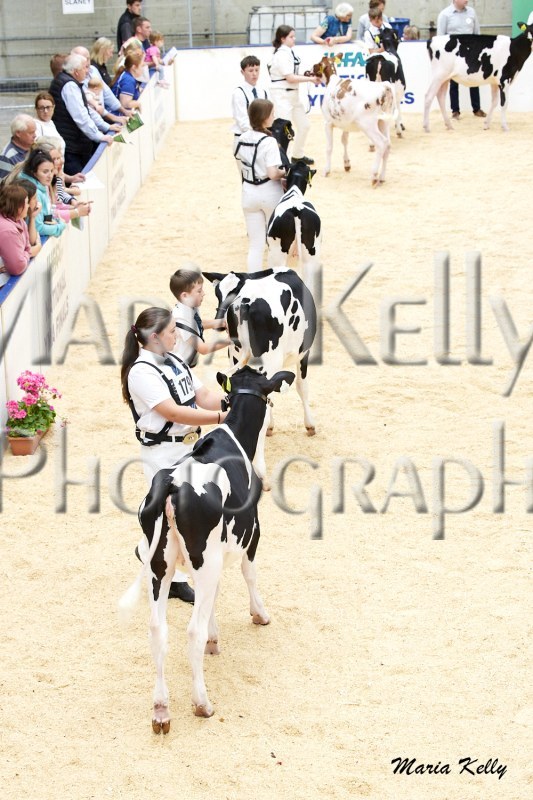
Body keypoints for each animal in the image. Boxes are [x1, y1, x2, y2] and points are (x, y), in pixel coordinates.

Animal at [119, 366, 295, 729]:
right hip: (201, 560)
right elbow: (249, 575)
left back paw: (161, 709)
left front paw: (216, 638)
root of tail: (170, 483)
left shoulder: (211, 562)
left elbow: (211, 597)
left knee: (157, 630)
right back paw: (201, 703)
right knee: (191, 632)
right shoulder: (252, 533)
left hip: (160, 566)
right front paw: (259, 614)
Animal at [203, 267, 317, 485]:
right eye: (217, 293)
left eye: (228, 292)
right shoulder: (303, 354)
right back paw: (261, 472)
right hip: (269, 361)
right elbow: (303, 388)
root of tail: (245, 303)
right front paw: (310, 425)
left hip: (236, 357)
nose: (218, 322)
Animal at [310, 54, 397, 185]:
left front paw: (326, 171)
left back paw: (374, 176)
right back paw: (382, 177)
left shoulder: (328, 122)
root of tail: (384, 86)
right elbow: (344, 140)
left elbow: (329, 147)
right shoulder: (345, 123)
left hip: (368, 125)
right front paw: (346, 164)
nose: (308, 72)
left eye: (316, 65)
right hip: (384, 122)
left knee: (381, 143)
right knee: (388, 144)